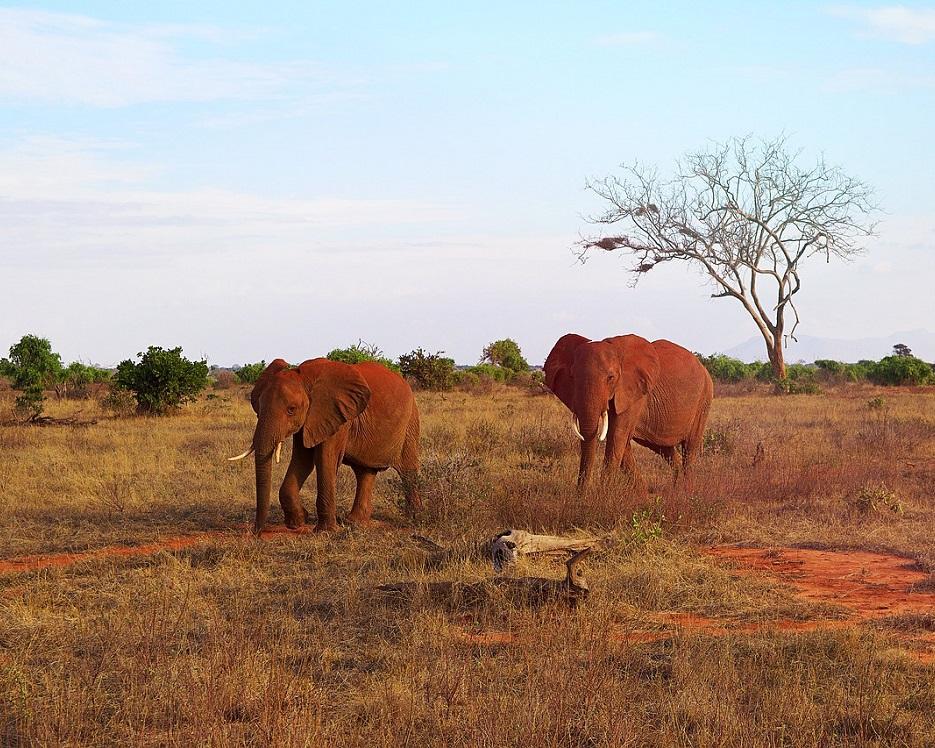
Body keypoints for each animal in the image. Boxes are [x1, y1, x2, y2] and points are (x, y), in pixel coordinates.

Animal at [232, 356, 422, 532]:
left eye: (291, 410)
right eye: (259, 409)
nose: (256, 532)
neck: (305, 379)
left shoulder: (338, 415)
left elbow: (325, 459)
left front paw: (325, 531)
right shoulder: (310, 419)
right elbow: (303, 460)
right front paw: (298, 522)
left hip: (410, 421)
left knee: (407, 470)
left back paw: (414, 519)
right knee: (364, 472)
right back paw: (354, 522)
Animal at [544, 334, 712, 490]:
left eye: (610, 378)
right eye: (572, 377)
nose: (580, 495)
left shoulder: (634, 393)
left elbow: (616, 436)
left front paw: (601, 496)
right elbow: (621, 443)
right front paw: (642, 495)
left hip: (704, 399)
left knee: (689, 449)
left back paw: (686, 492)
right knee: (664, 447)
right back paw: (675, 489)